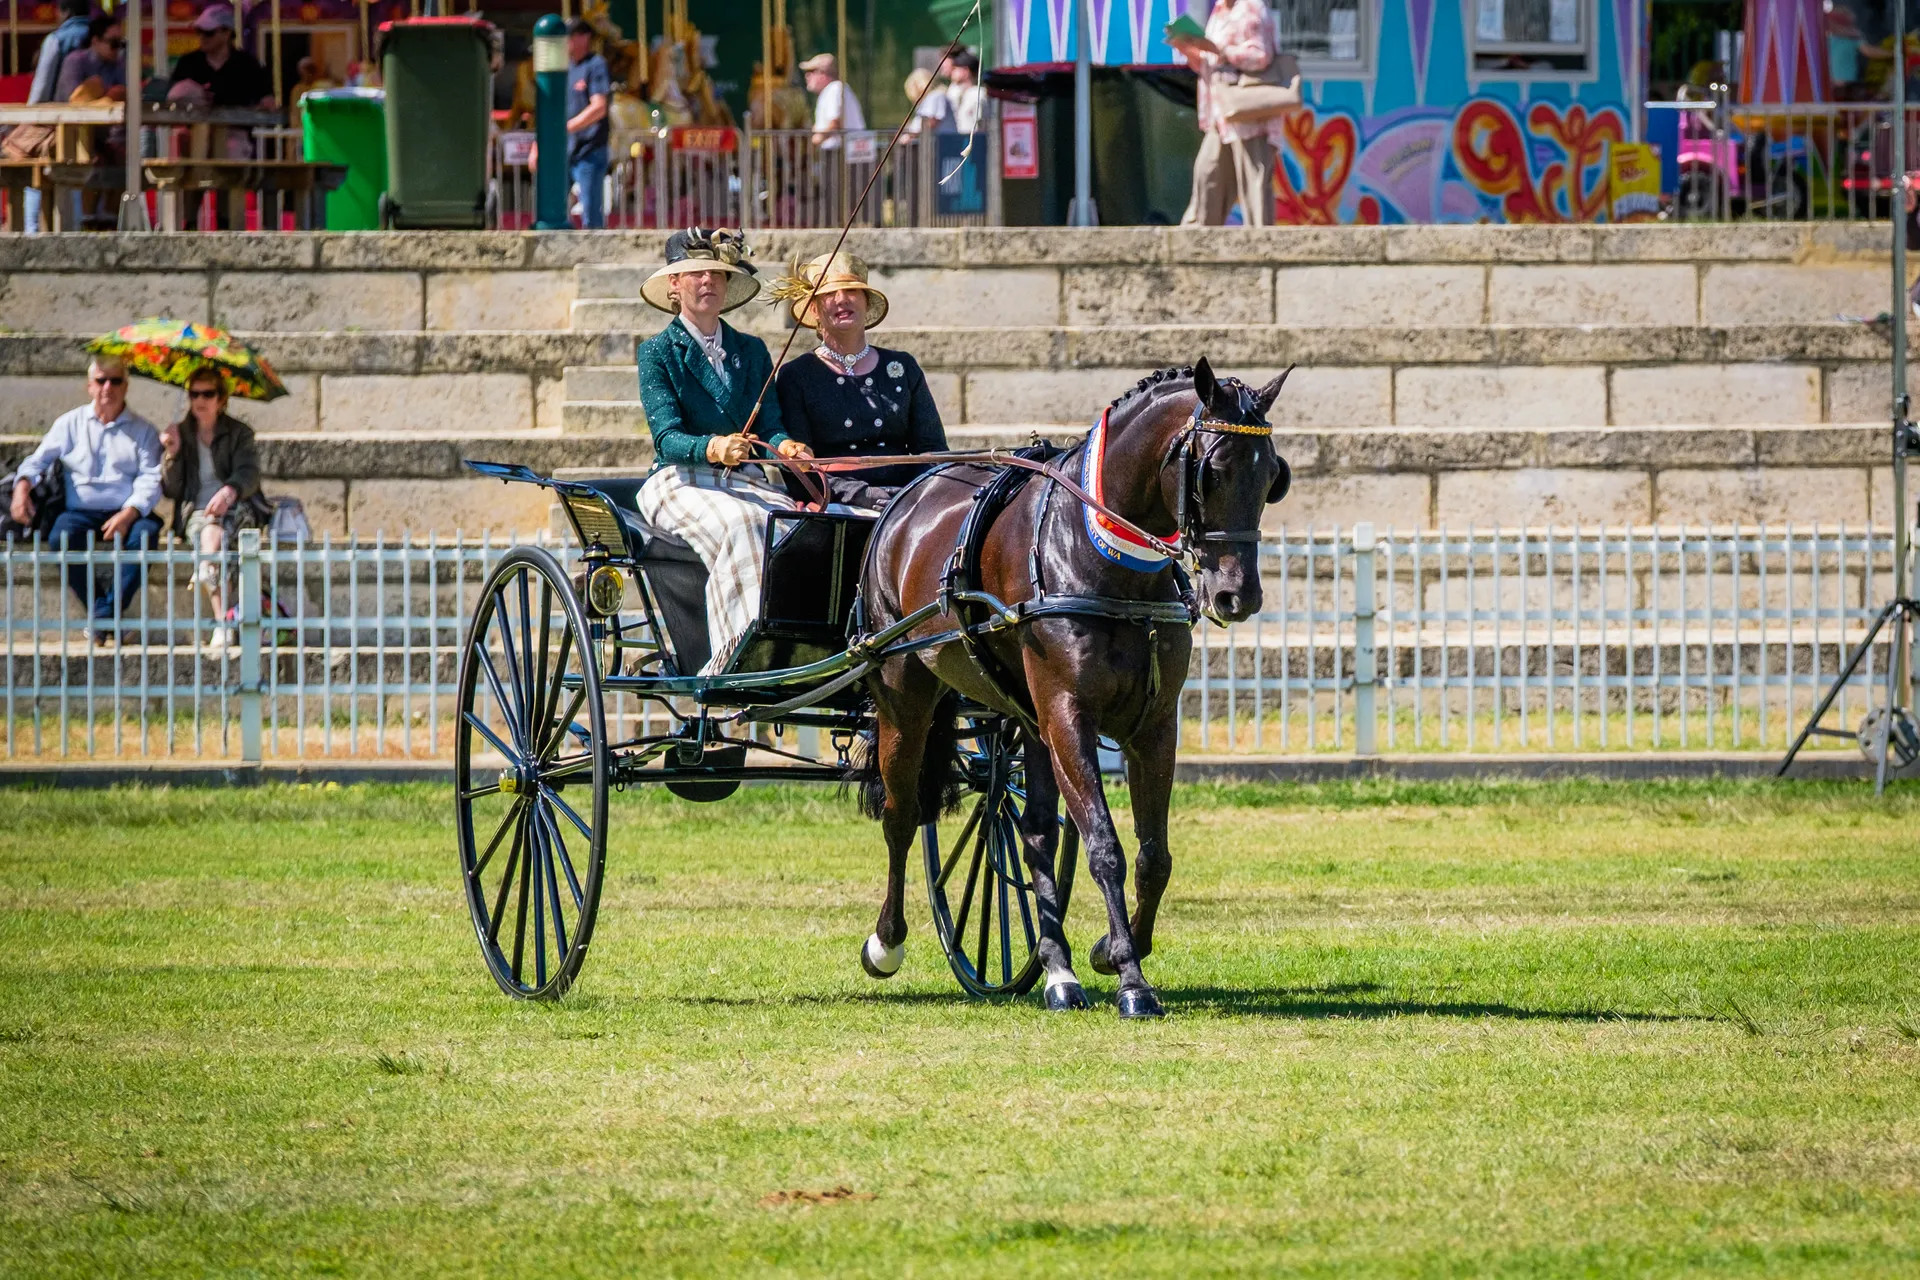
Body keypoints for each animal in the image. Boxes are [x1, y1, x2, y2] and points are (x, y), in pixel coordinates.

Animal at [852, 358, 1291, 1017]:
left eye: (1271, 478)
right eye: (1211, 472)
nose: (1238, 596)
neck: (1104, 557)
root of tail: (907, 497)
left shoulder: (1153, 726)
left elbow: (1152, 854)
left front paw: (1111, 950)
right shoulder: (1068, 714)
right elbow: (1104, 847)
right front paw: (1133, 979)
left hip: (1027, 721)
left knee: (1031, 831)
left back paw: (1057, 973)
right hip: (904, 692)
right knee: (902, 813)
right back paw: (887, 940)